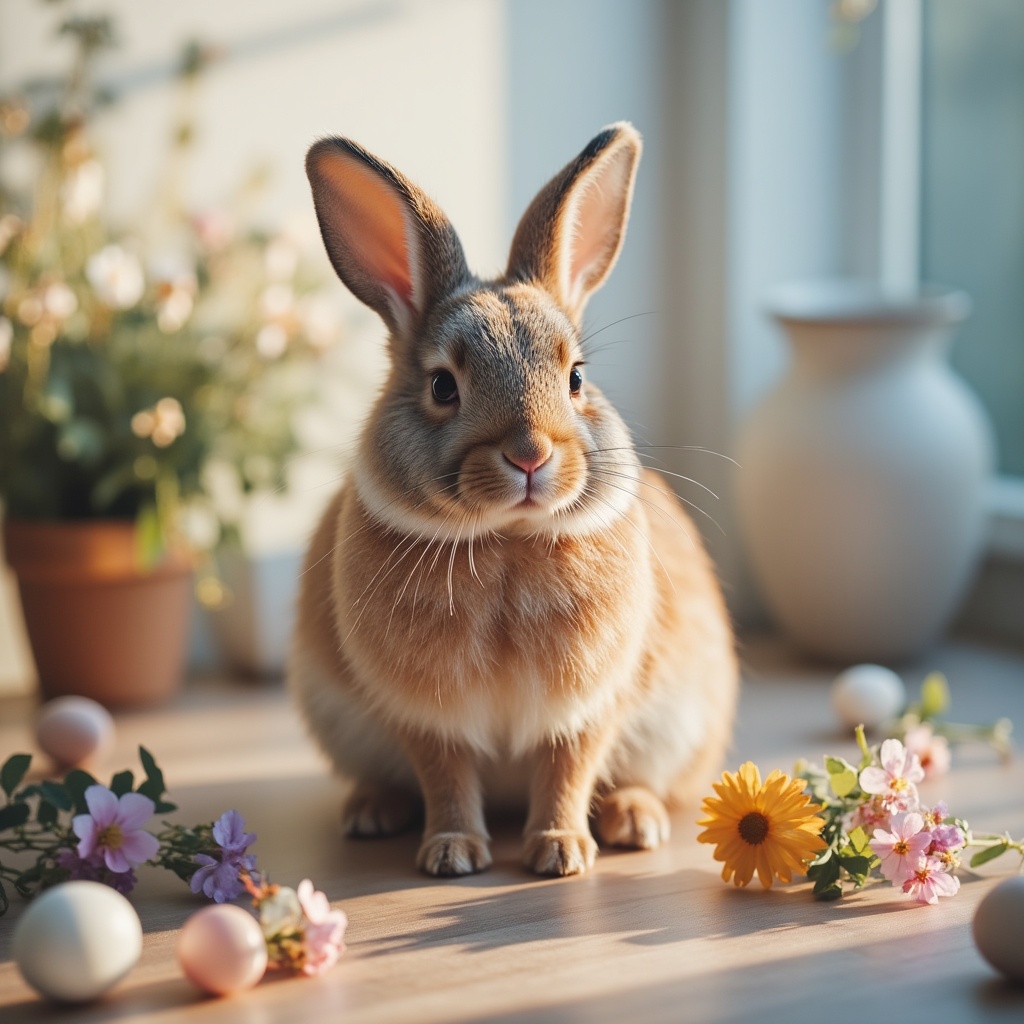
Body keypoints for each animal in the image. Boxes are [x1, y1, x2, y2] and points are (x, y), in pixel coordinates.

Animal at [289, 122, 738, 878]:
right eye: (443, 387)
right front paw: (452, 854)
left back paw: (633, 822)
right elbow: (446, 777)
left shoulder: (589, 706)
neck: (505, 539)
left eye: (576, 377)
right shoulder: (428, 719)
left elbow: (568, 768)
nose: (530, 456)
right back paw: (372, 812)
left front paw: (561, 852)